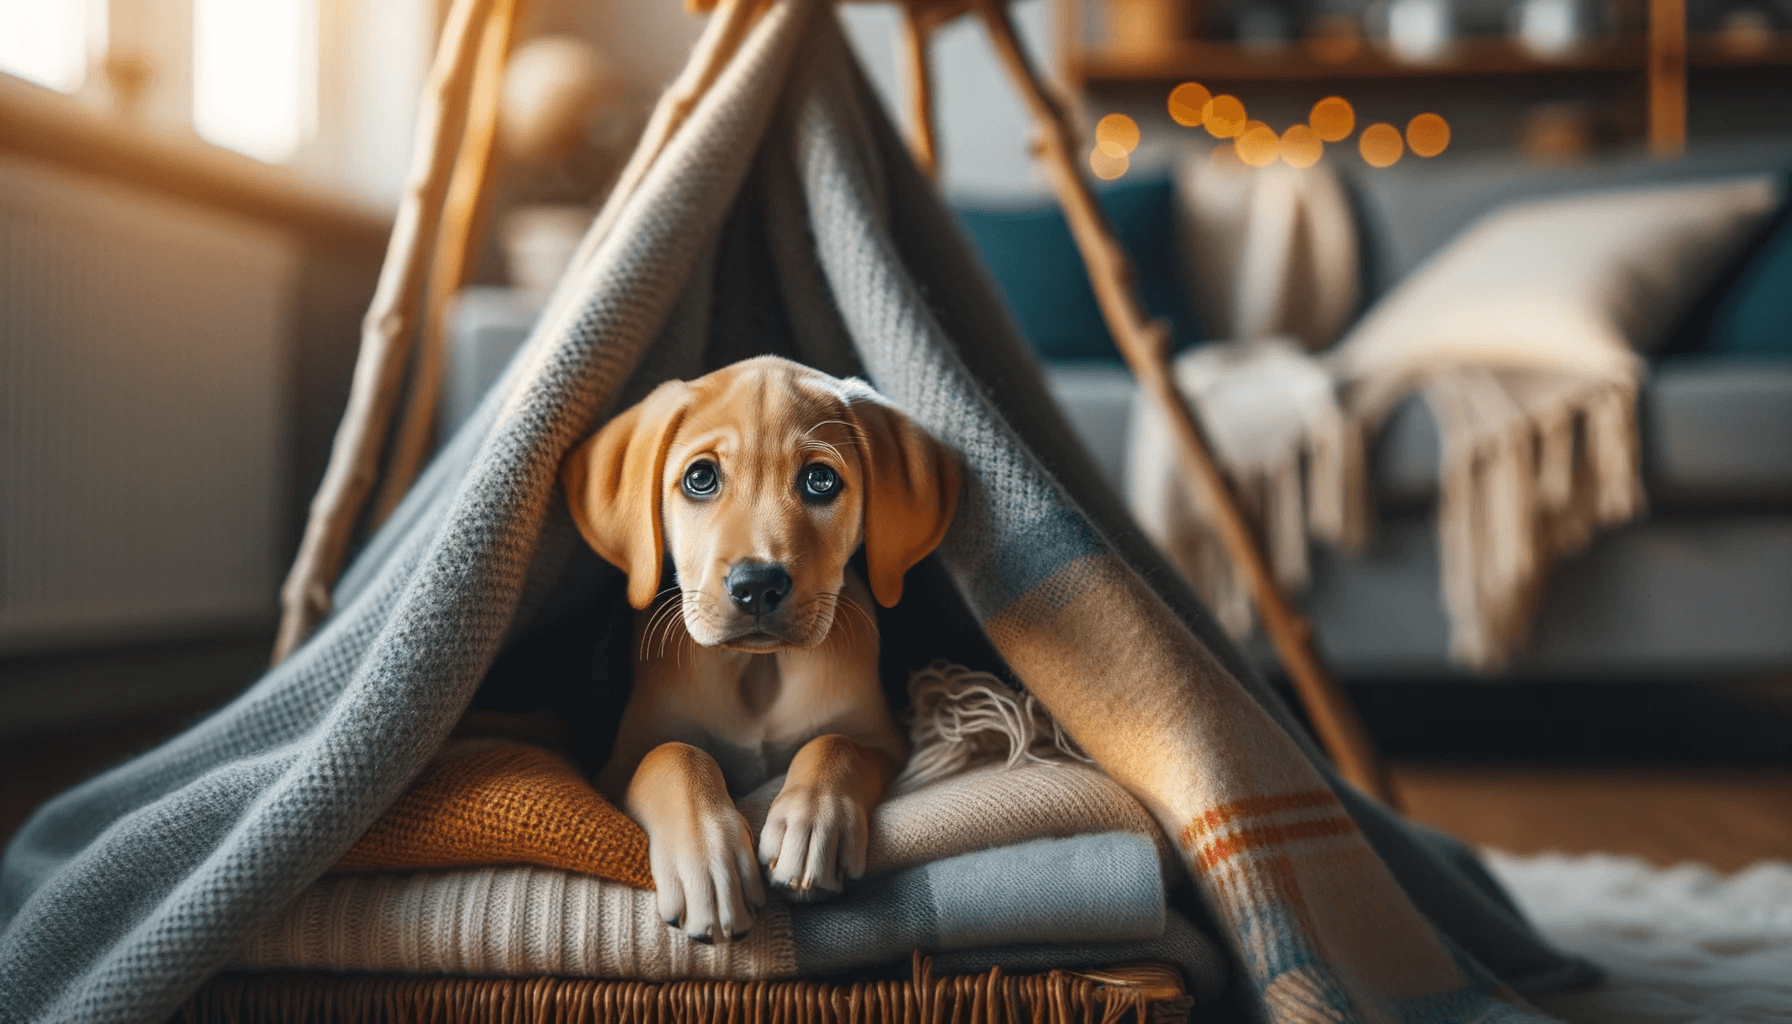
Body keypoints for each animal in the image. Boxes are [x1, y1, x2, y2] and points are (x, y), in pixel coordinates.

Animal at [562, 355, 967, 946]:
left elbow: (836, 742)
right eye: (700, 478)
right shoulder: (616, 767)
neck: (758, 673)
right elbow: (674, 754)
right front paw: (709, 861)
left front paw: (813, 823)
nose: (757, 585)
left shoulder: (888, 742)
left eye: (821, 480)